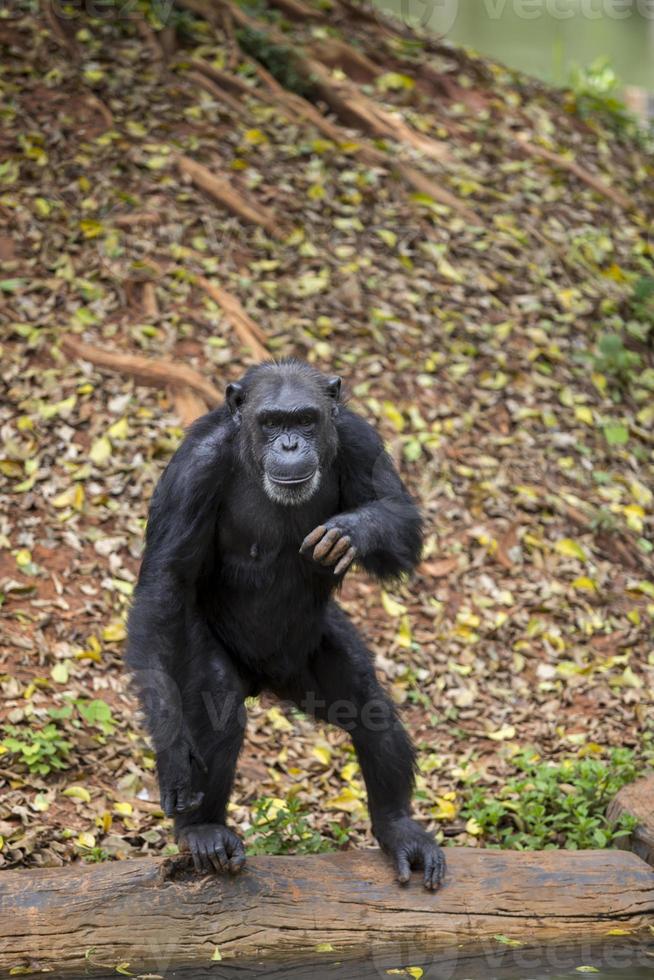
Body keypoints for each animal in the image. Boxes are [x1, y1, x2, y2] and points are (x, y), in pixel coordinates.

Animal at [128, 358, 446, 888]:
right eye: (272, 422)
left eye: (305, 420)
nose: (291, 444)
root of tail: (266, 682)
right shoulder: (193, 470)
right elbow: (164, 585)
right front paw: (172, 753)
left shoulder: (360, 439)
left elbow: (401, 520)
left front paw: (351, 531)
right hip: (207, 650)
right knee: (219, 698)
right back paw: (202, 831)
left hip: (311, 657)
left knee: (368, 706)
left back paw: (398, 828)